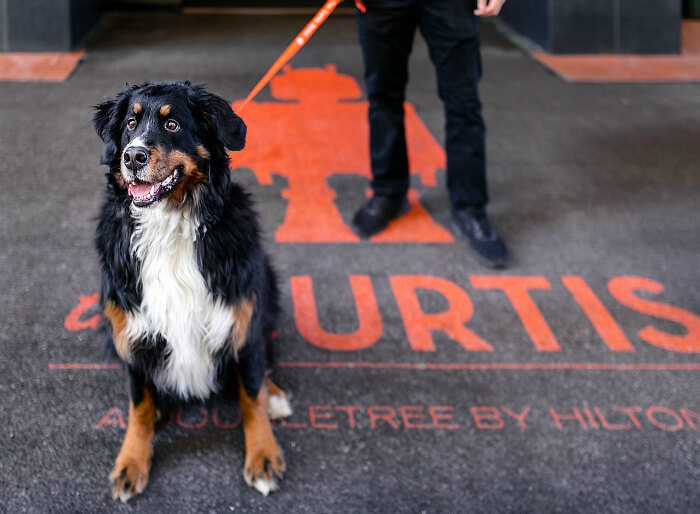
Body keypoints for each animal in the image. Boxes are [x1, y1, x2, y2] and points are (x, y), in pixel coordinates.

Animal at [92, 83, 290, 500]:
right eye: (130, 123)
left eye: (172, 124)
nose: (133, 156)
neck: (170, 224)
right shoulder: (131, 330)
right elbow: (138, 405)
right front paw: (131, 463)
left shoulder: (241, 319)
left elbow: (251, 394)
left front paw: (263, 455)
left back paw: (276, 395)